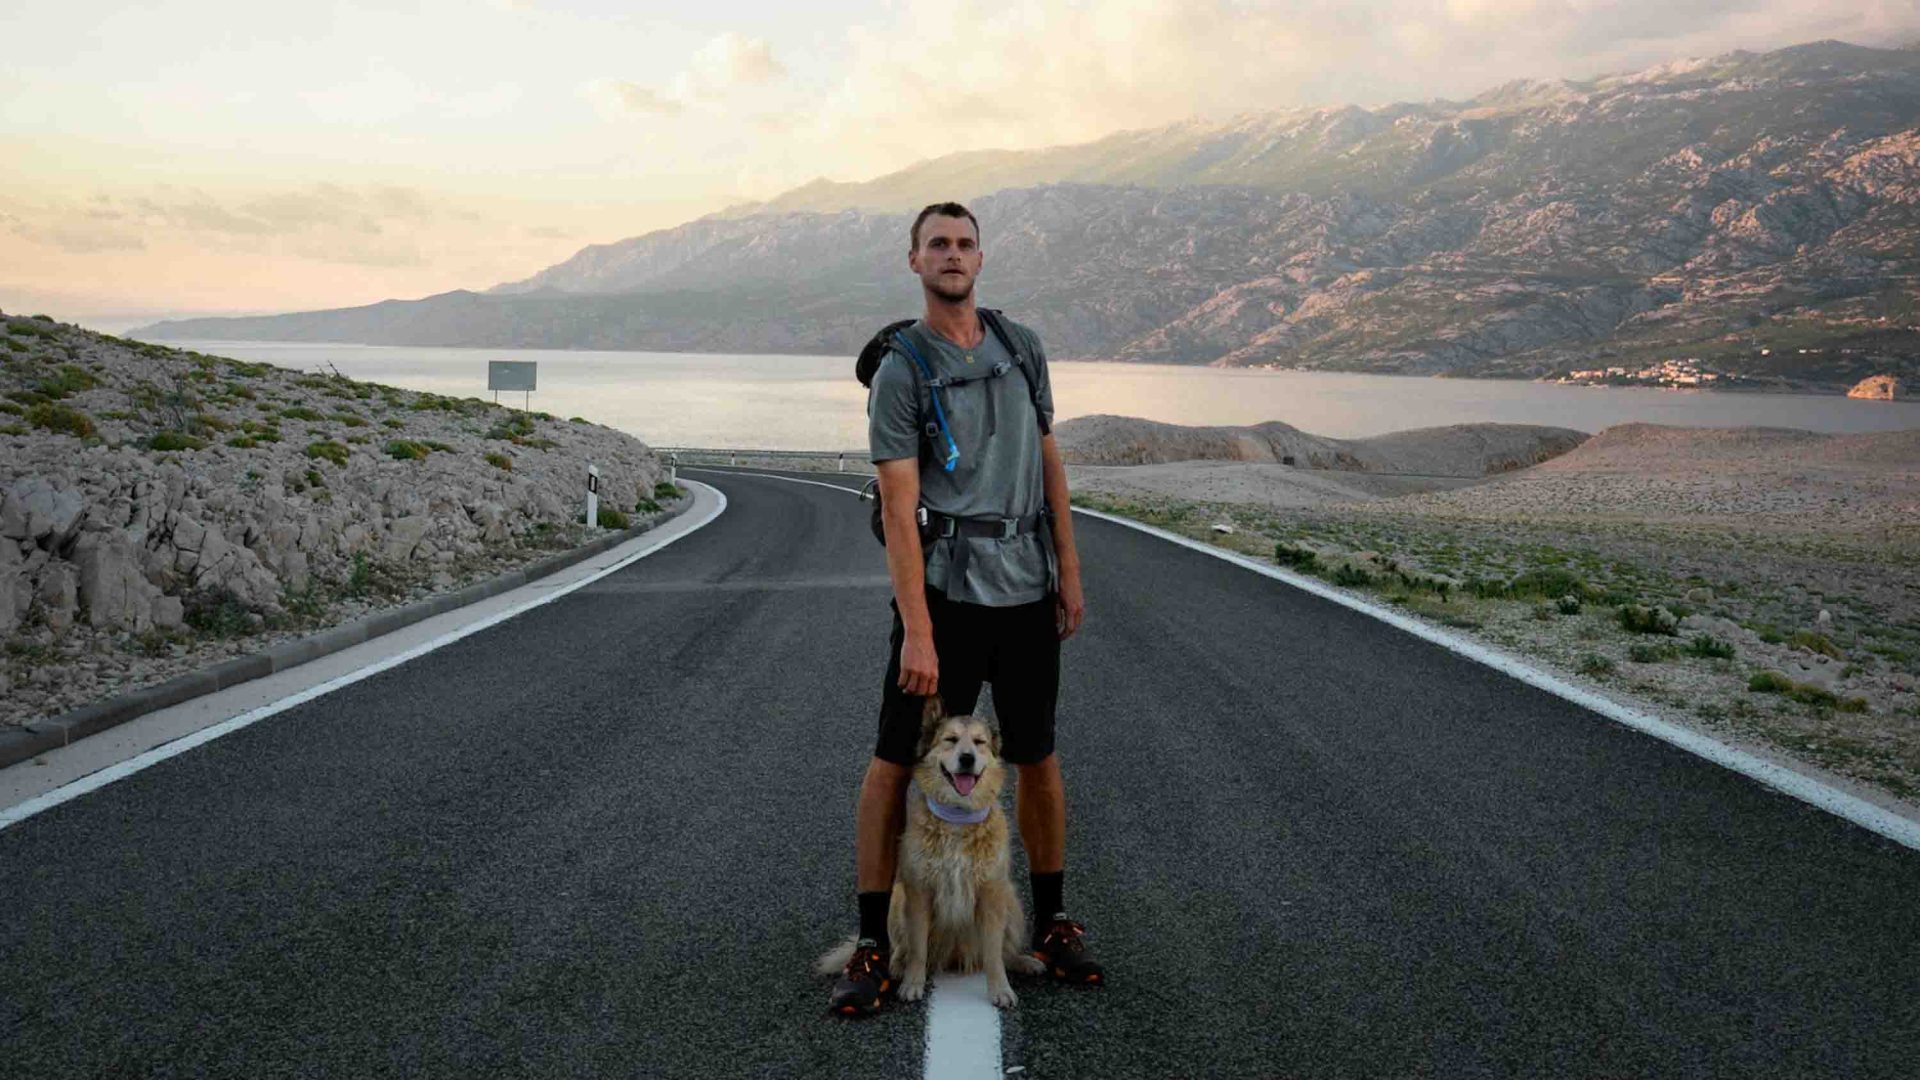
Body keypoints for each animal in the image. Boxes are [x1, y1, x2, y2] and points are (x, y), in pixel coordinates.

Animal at [817, 691, 1044, 1006]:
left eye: (979, 742)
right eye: (950, 739)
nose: (966, 758)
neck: (958, 816)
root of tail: (953, 959)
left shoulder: (991, 892)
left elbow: (994, 953)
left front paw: (1001, 988)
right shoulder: (919, 892)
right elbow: (917, 948)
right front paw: (912, 983)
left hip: (1010, 898)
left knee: (1000, 952)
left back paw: (1023, 961)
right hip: (897, 899)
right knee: (902, 949)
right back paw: (895, 967)